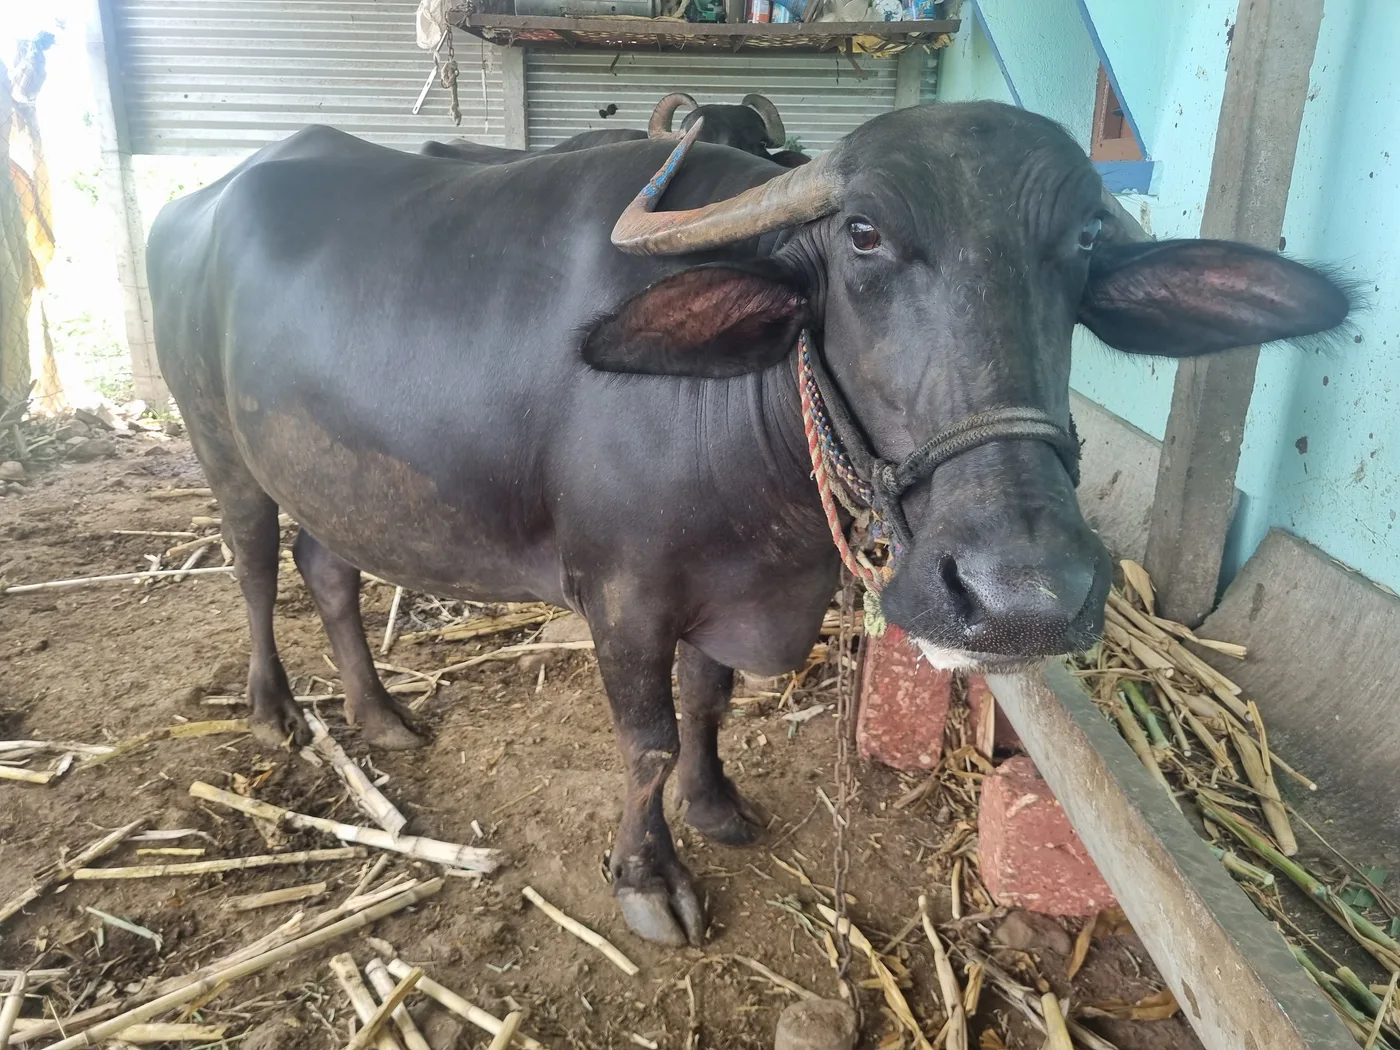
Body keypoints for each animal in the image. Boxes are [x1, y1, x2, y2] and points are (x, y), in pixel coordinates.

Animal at [147, 101, 1351, 948]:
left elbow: (707, 701)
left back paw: (380, 713)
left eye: (1086, 242)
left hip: (327, 471)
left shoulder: (729, 593)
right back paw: (274, 711)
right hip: (217, 445)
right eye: (861, 234)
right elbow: (643, 741)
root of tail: (193, 205)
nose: (1024, 594)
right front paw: (649, 878)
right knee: (254, 566)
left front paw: (715, 804)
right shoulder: (621, 598)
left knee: (329, 570)